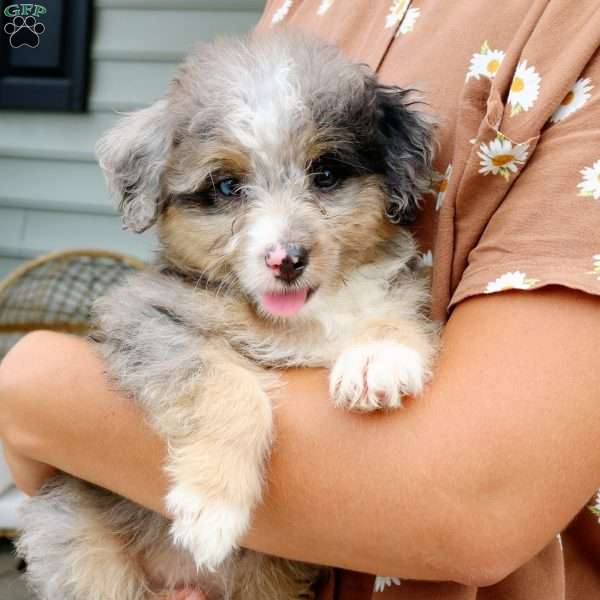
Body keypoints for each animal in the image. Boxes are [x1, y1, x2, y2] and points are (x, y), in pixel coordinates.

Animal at [18, 30, 438, 600]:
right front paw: (211, 509)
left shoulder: (394, 288)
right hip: (80, 548)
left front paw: (378, 359)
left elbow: (392, 311)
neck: (296, 320)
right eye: (225, 187)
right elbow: (231, 387)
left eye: (326, 174)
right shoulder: (146, 318)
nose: (286, 259)